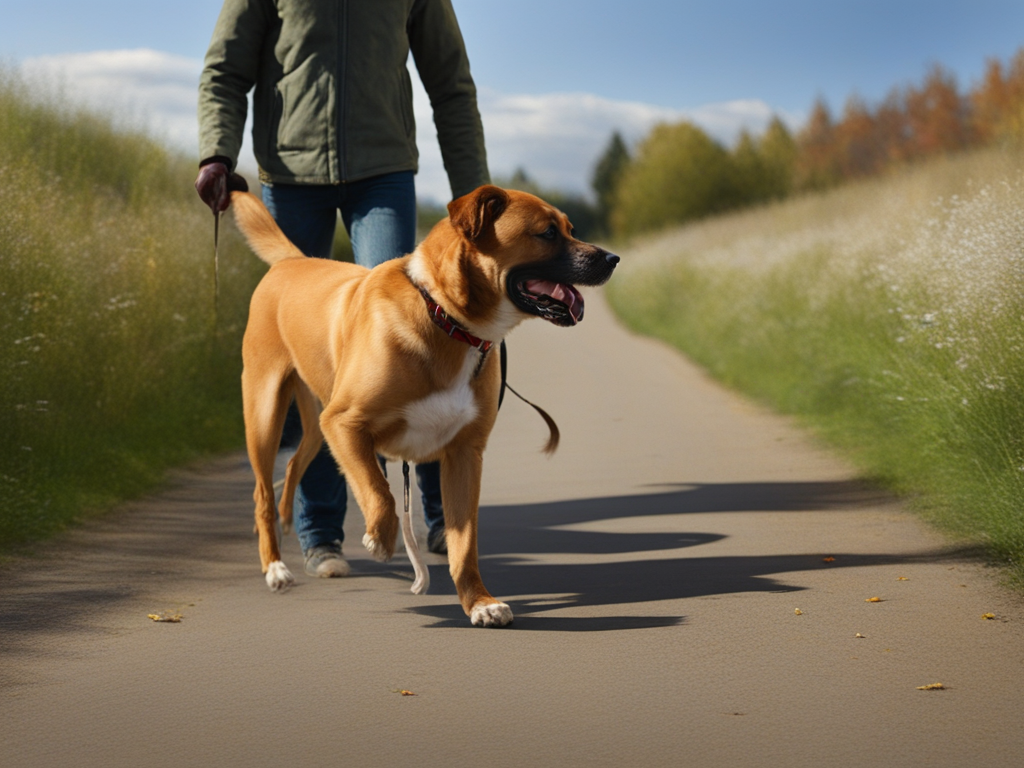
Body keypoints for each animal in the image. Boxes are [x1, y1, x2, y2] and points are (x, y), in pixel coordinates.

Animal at [230, 183, 614, 626]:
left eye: (570, 229)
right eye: (548, 233)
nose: (612, 259)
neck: (447, 318)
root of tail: (292, 261)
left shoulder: (464, 455)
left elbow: (464, 543)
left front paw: (479, 602)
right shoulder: (345, 424)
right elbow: (380, 492)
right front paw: (381, 539)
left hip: (315, 425)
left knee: (294, 463)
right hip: (266, 413)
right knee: (261, 493)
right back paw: (275, 567)